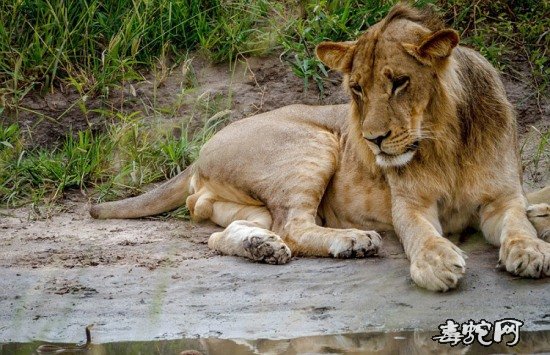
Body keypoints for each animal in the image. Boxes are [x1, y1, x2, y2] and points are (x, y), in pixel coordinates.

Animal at [90, 3, 550, 292]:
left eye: (400, 82)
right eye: (357, 88)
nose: (372, 140)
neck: (446, 139)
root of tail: (203, 147)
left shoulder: (502, 198)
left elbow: (518, 224)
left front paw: (531, 251)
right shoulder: (410, 204)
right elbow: (420, 233)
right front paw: (436, 263)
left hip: (248, 200)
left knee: (234, 233)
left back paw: (261, 247)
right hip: (314, 144)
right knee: (293, 226)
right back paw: (352, 241)